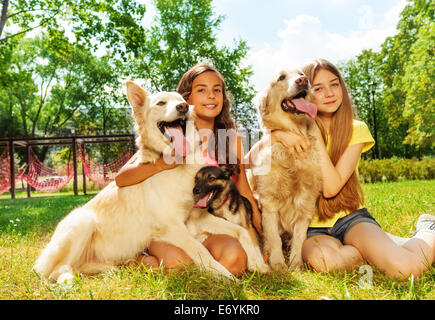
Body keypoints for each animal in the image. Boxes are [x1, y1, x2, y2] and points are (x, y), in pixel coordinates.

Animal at [34, 80, 238, 282]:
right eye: (161, 103)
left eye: (182, 100)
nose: (183, 107)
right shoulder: (173, 227)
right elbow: (201, 250)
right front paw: (227, 278)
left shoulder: (197, 216)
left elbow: (237, 230)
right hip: (83, 221)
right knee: (56, 271)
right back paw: (68, 282)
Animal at [249, 69, 324, 272]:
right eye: (281, 77)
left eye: (301, 73)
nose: (303, 80)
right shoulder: (268, 203)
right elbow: (274, 237)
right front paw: (277, 263)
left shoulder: (306, 203)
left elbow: (299, 238)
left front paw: (296, 264)